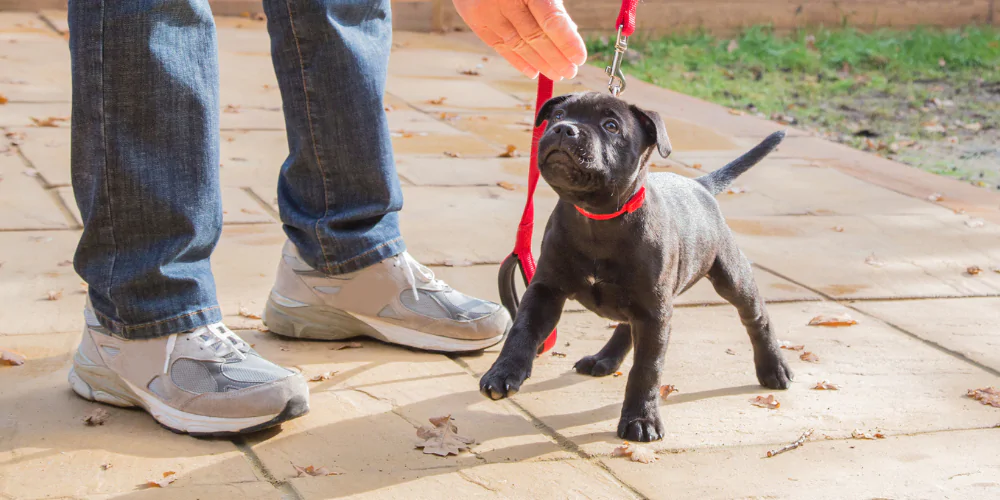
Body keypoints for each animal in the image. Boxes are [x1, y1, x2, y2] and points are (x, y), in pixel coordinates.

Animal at [480, 91, 792, 442]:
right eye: (558, 114)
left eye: (611, 125)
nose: (564, 129)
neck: (597, 217)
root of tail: (700, 186)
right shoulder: (546, 289)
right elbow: (523, 329)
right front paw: (504, 372)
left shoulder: (655, 312)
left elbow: (647, 368)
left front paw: (641, 419)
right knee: (625, 324)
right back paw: (604, 358)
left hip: (730, 277)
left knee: (756, 317)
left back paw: (774, 367)